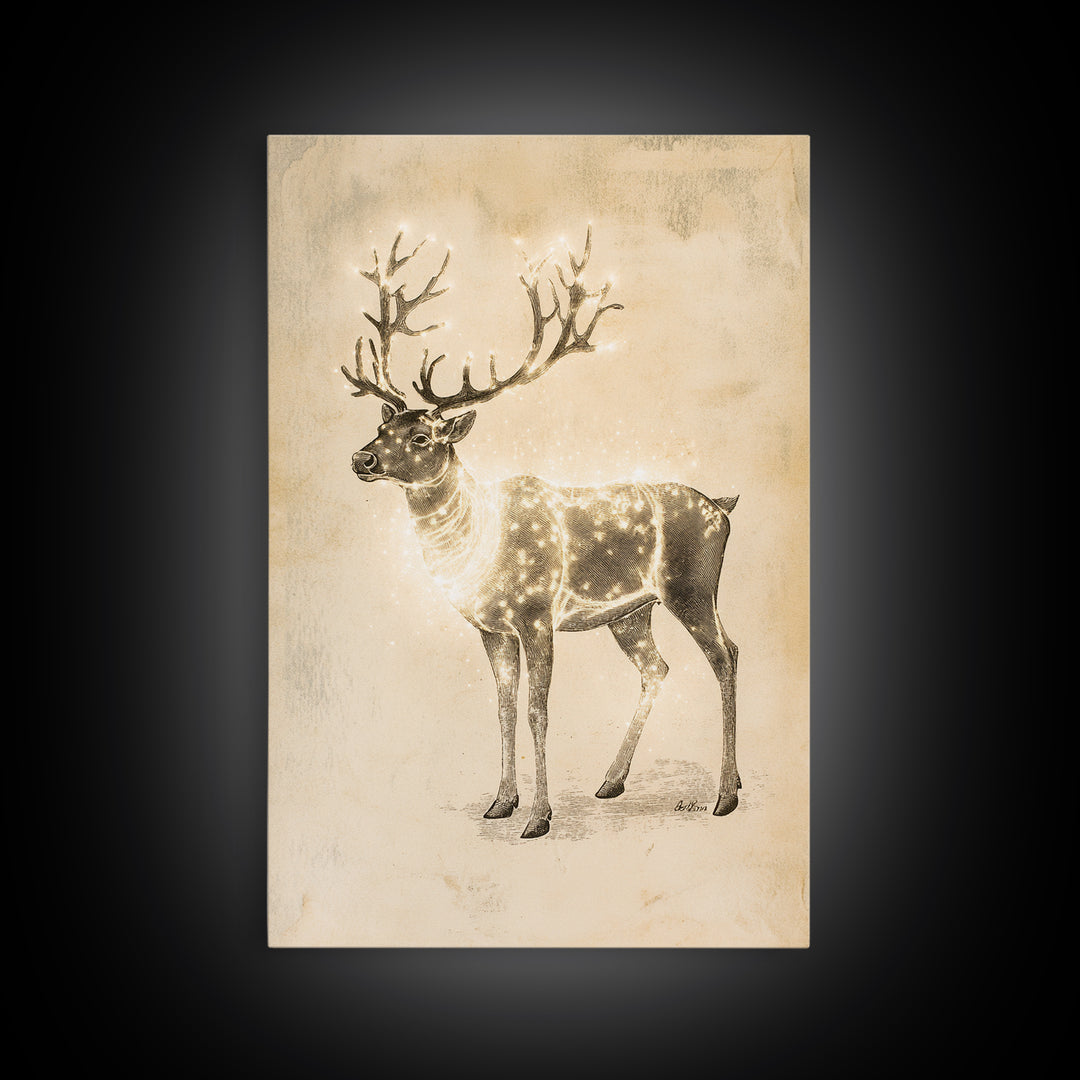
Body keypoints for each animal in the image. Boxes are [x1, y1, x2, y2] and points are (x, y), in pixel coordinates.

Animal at [343, 227, 740, 839]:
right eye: (382, 427)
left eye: (422, 436)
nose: (360, 458)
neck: (480, 546)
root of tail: (723, 507)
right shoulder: (491, 627)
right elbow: (504, 707)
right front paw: (500, 802)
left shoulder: (534, 614)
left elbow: (538, 710)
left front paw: (539, 817)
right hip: (632, 612)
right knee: (661, 667)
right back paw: (613, 781)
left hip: (692, 587)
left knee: (725, 657)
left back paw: (724, 794)